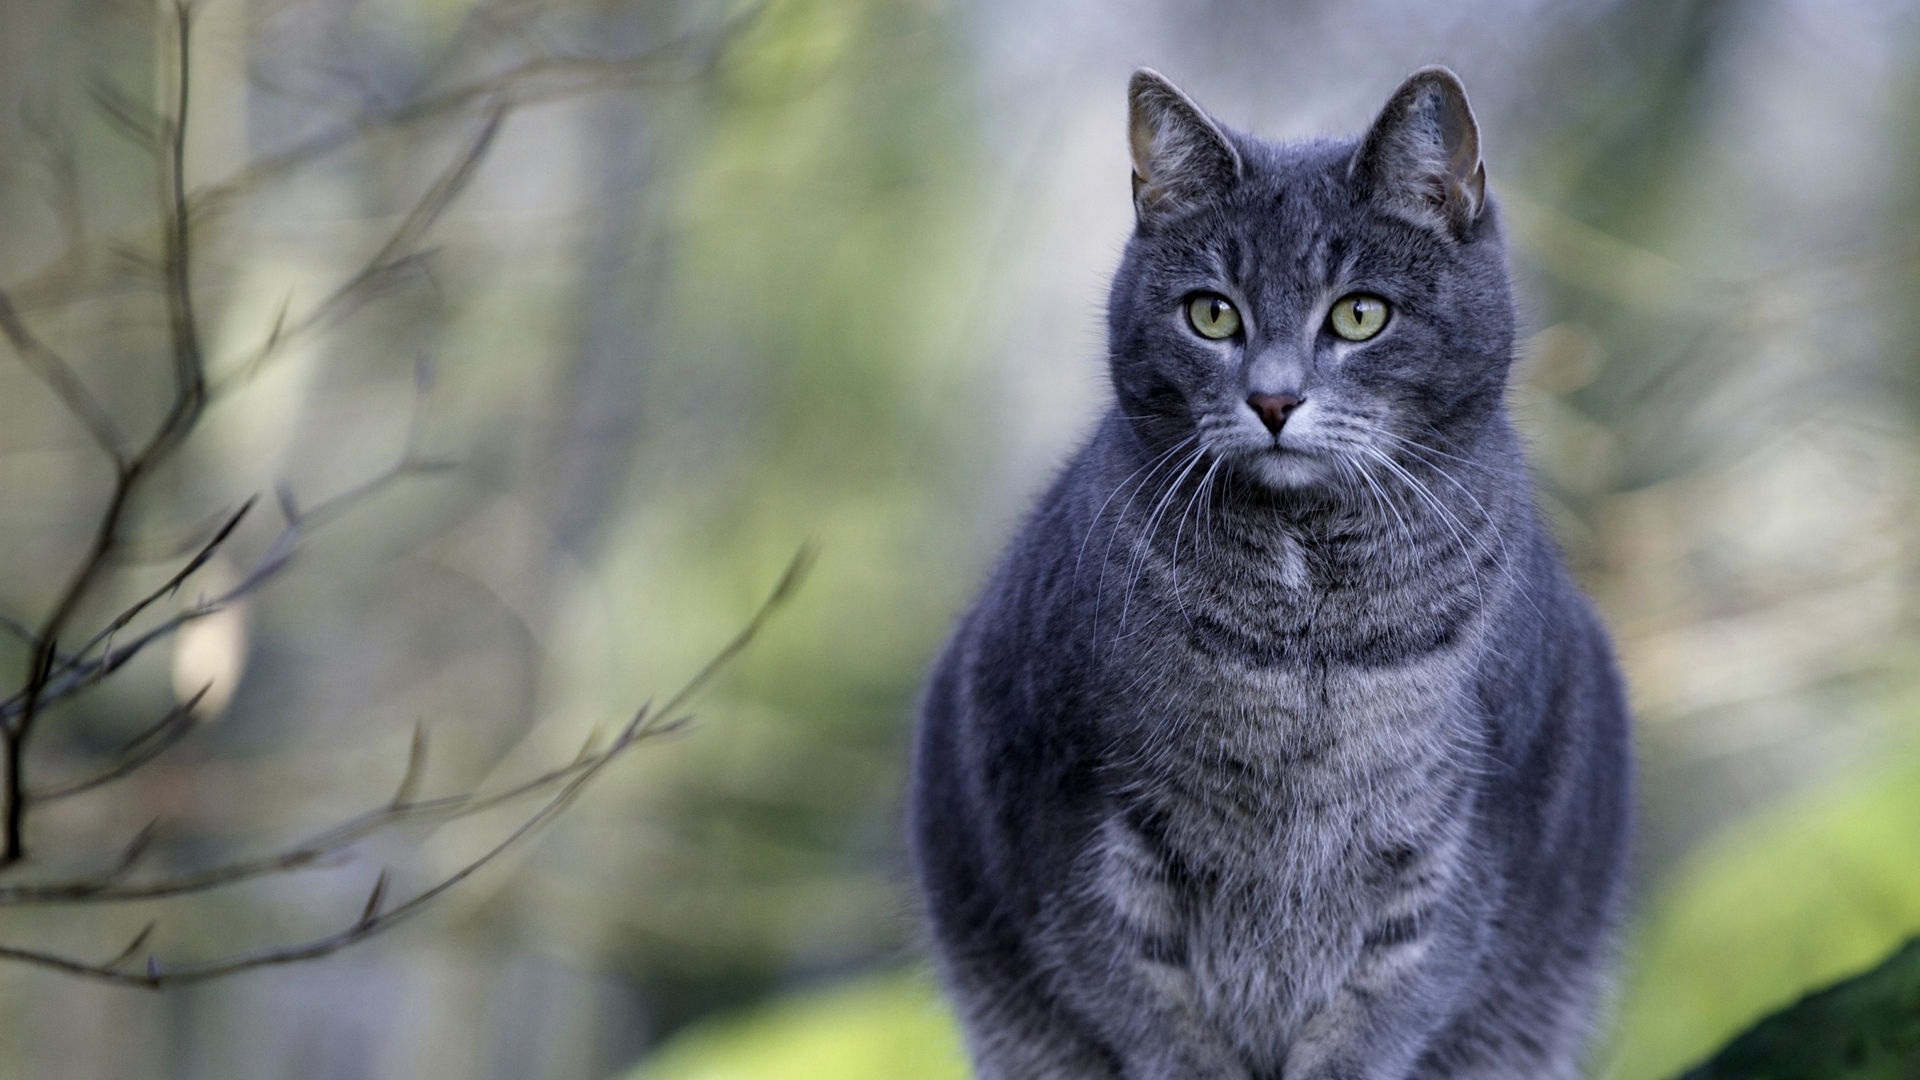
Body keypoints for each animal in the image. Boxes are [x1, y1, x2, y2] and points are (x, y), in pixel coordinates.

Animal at [906, 69, 1628, 1076]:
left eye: (1360, 313)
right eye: (1212, 313)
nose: (1275, 399)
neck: (1304, 630)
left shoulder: (1456, 856)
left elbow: (1384, 1013)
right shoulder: (1079, 833)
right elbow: (1145, 1009)